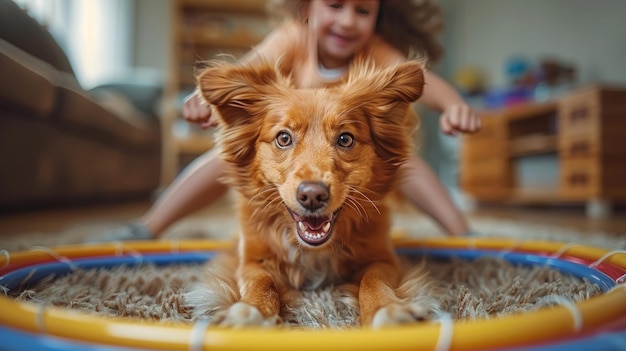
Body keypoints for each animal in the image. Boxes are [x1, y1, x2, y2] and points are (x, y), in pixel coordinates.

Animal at [186, 56, 438, 328]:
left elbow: (374, 280)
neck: (313, 250)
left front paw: (387, 309)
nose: (312, 195)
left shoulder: (383, 258)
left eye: (345, 139)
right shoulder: (250, 261)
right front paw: (250, 312)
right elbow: (261, 282)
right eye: (283, 138)